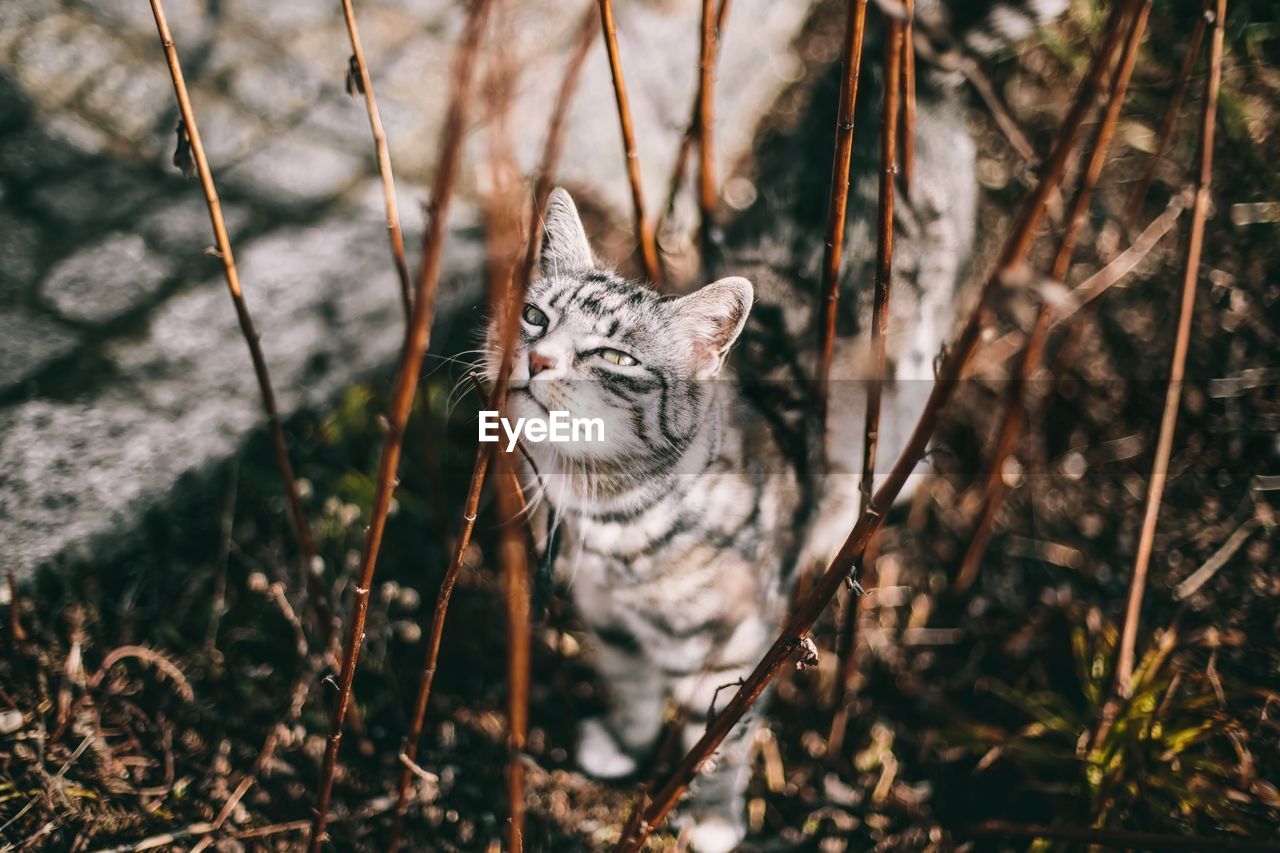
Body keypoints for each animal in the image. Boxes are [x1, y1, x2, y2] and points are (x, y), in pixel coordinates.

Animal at [488, 0, 1070, 845]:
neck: (613, 523)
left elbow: (720, 738)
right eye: (534, 317)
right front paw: (622, 745)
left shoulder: (737, 643)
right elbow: (631, 690)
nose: (535, 360)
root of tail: (902, 70)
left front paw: (711, 818)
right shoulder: (613, 629)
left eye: (613, 356)